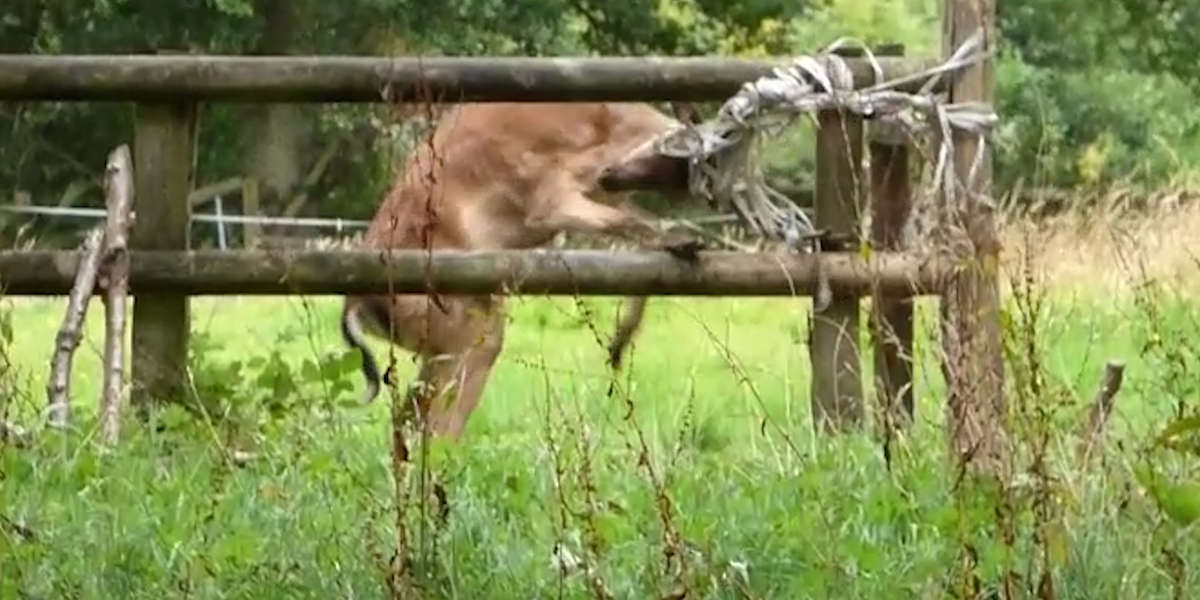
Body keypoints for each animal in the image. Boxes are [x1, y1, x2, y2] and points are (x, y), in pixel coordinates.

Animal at [340, 101, 703, 440]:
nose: (611, 174)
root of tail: (354, 306)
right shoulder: (549, 196)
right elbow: (631, 223)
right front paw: (687, 240)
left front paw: (616, 348)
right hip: (463, 326)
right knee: (435, 419)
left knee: (409, 416)